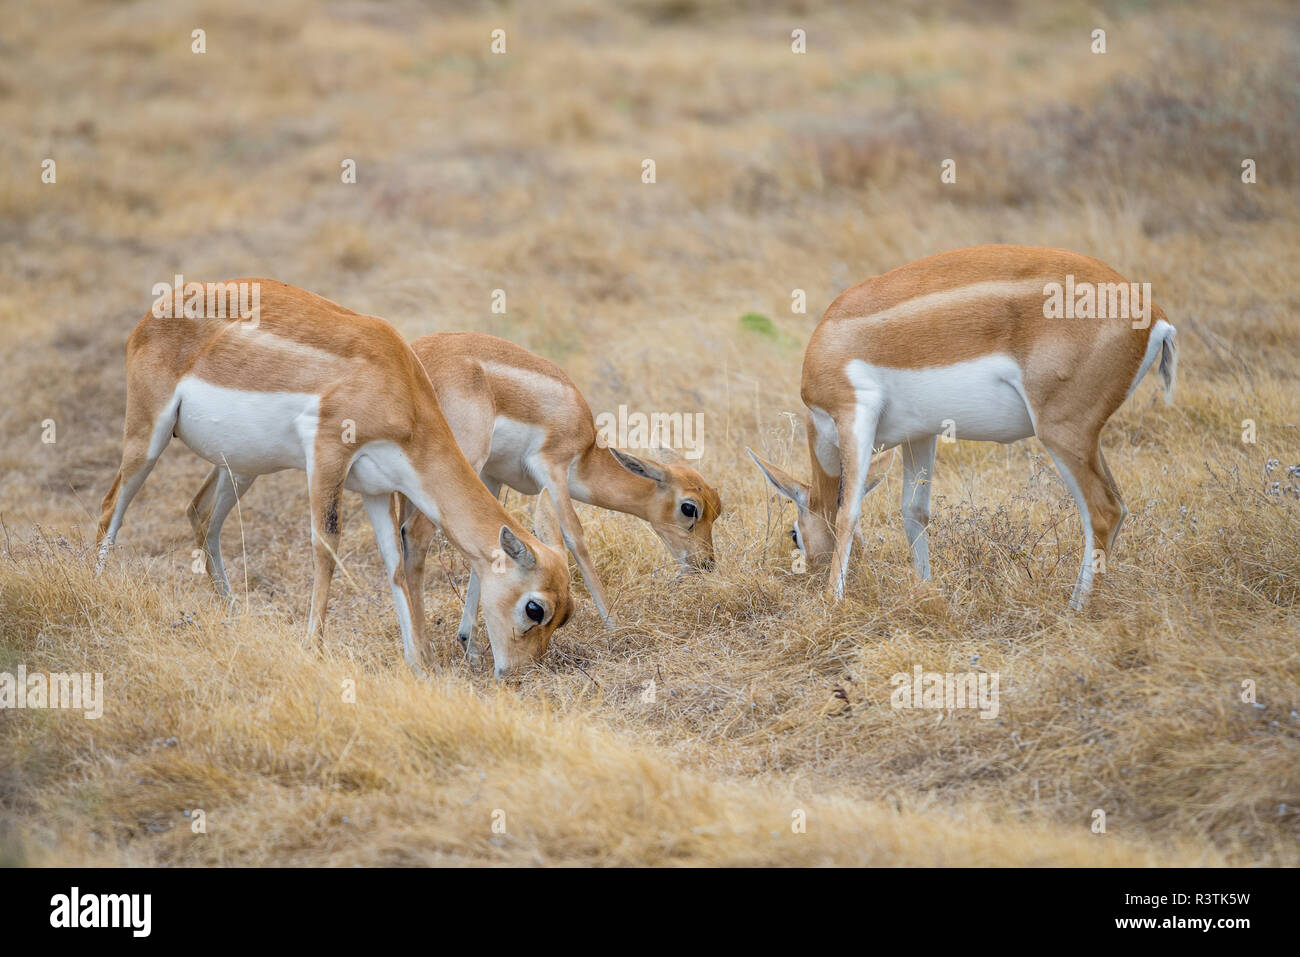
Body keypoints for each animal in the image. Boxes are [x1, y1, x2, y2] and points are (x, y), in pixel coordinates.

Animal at [96, 280, 574, 676]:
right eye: (535, 609)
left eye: (566, 614)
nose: (515, 673)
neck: (397, 383)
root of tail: (157, 310)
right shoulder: (328, 453)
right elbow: (326, 545)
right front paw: (314, 648)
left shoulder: (377, 490)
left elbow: (395, 564)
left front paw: (418, 665)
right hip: (148, 438)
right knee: (110, 507)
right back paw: (97, 589)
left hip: (242, 467)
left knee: (200, 513)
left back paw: (236, 617)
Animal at [189, 328, 728, 650]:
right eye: (690, 508)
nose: (705, 564)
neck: (585, 445)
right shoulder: (552, 472)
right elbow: (575, 540)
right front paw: (614, 625)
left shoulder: (496, 479)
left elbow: (493, 553)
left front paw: (469, 636)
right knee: (414, 537)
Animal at [743, 243, 1180, 608]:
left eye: (793, 534)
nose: (808, 577)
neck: (832, 337)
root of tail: (1156, 317)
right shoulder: (920, 434)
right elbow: (914, 512)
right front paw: (926, 592)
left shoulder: (855, 413)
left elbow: (848, 512)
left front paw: (832, 602)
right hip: (1087, 437)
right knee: (1118, 507)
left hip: (1060, 432)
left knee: (1103, 511)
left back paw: (1076, 610)